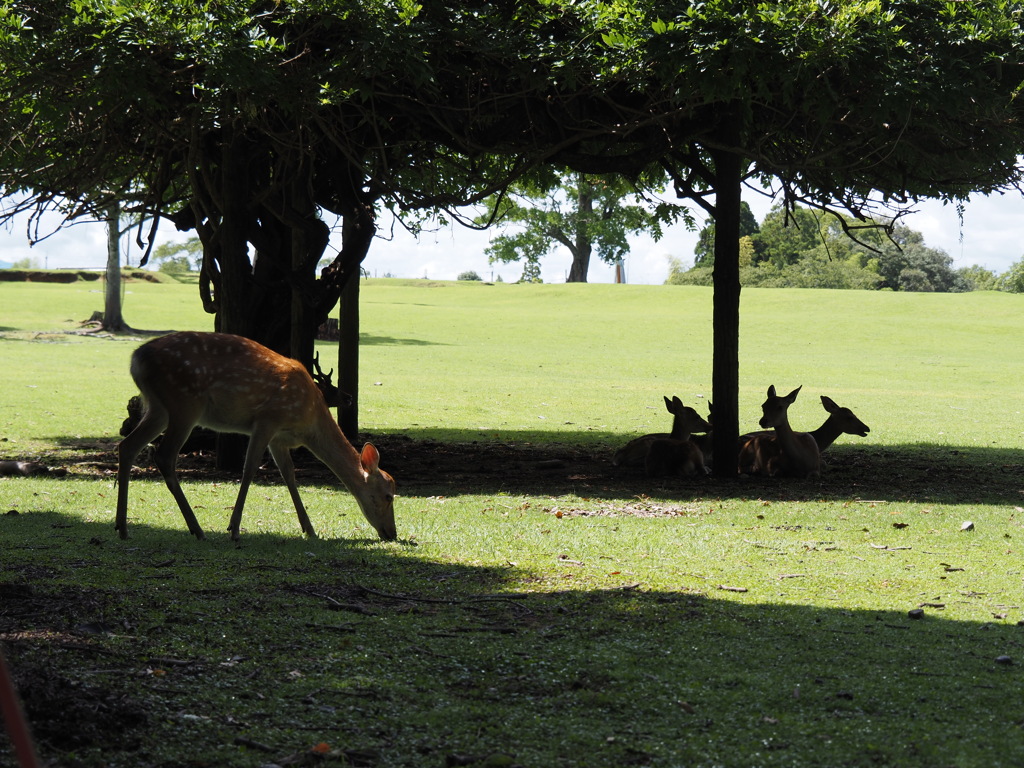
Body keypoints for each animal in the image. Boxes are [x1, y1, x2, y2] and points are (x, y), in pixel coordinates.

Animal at [116, 333, 395, 544]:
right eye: (388, 496)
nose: (391, 533)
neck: (309, 421)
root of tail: (135, 359)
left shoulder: (279, 439)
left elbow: (289, 475)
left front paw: (309, 529)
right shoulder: (267, 420)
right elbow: (249, 469)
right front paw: (234, 529)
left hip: (159, 408)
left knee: (127, 446)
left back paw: (122, 527)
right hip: (184, 403)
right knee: (164, 456)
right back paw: (197, 529)